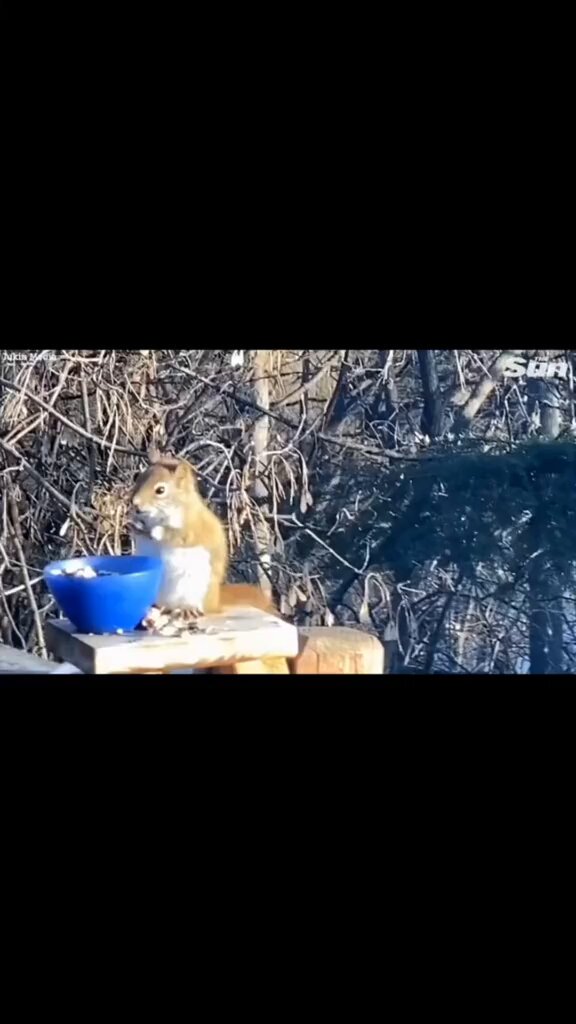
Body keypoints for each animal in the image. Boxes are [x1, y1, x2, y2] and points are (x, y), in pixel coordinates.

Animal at [130, 455, 273, 616]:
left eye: (160, 490)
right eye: (139, 479)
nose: (134, 503)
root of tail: (216, 603)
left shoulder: (192, 528)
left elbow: (177, 535)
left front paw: (156, 530)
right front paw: (134, 525)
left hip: (197, 589)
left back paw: (187, 610)